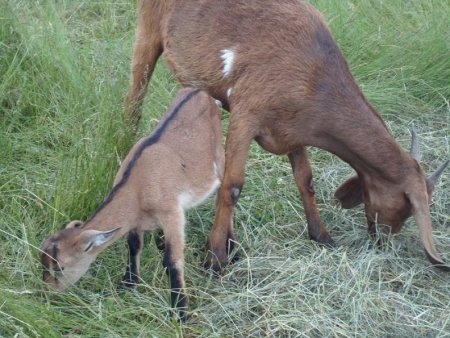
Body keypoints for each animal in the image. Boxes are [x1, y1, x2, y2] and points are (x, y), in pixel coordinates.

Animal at [40, 88, 225, 320]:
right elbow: (134, 245)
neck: (138, 185)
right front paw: (128, 284)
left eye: (61, 268)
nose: (47, 294)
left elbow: (172, 260)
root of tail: (201, 92)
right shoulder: (137, 221)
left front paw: (180, 311)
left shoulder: (171, 212)